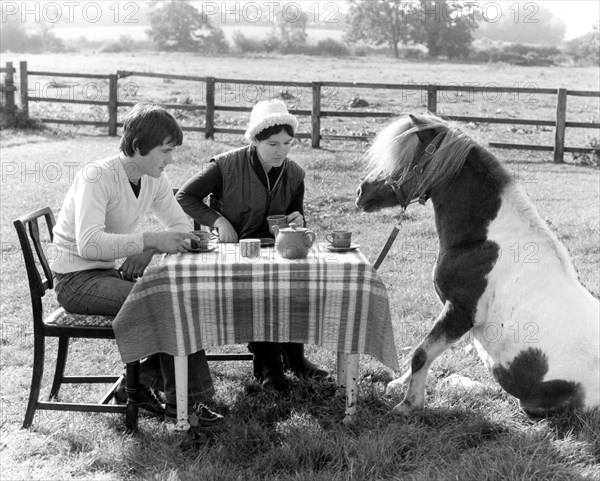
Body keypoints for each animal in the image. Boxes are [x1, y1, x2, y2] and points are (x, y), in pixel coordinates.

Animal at [356, 112, 600, 416]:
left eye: (405, 161)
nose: (361, 191)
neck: (482, 241)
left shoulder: (460, 313)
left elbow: (422, 353)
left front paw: (408, 404)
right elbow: (423, 349)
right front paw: (399, 386)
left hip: (533, 404)